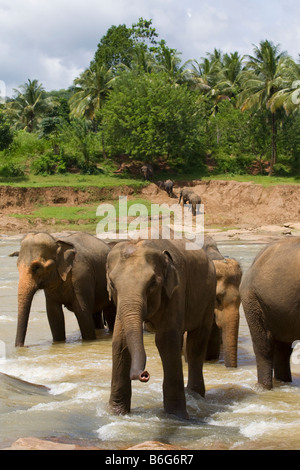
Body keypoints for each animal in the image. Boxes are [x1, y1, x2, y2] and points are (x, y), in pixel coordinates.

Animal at [105, 239, 216, 418]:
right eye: (113, 284)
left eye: (152, 283)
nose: (144, 375)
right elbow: (120, 342)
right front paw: (116, 413)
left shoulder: (176, 290)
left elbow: (166, 340)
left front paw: (177, 416)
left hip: (209, 295)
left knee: (197, 342)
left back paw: (195, 395)